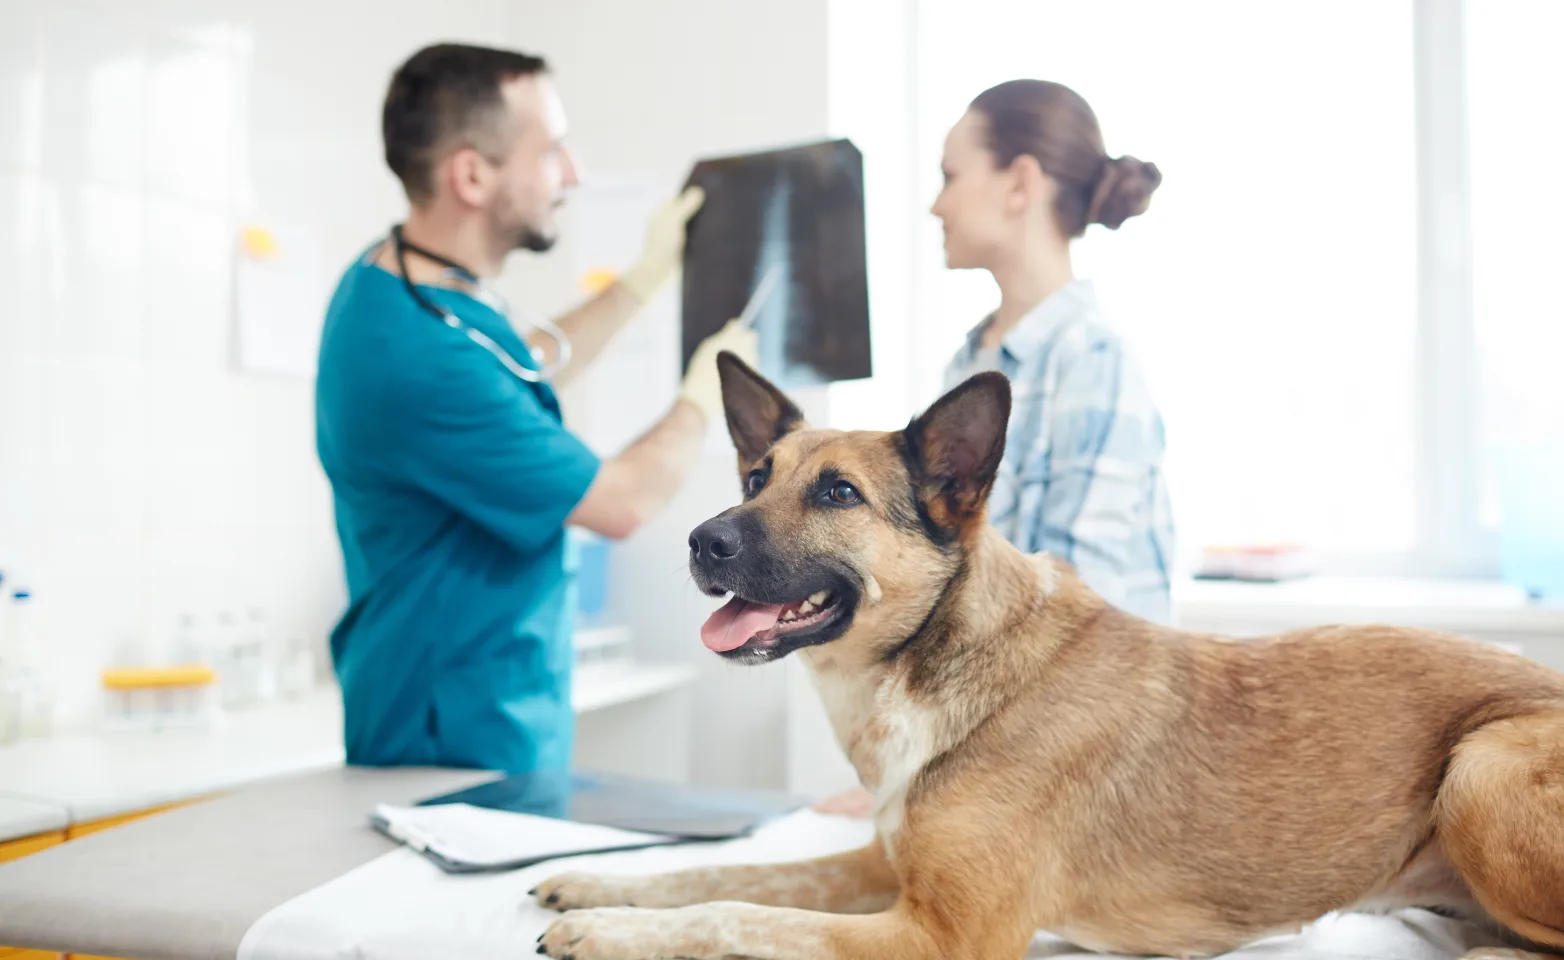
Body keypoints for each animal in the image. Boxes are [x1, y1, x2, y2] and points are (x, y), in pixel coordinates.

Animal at [534, 354, 1564, 960]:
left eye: (836, 493)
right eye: (755, 478)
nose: (702, 540)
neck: (939, 662)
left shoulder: (941, 936)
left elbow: (740, 917)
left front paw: (607, 928)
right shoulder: (879, 868)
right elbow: (720, 876)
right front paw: (604, 885)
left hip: (1480, 766)